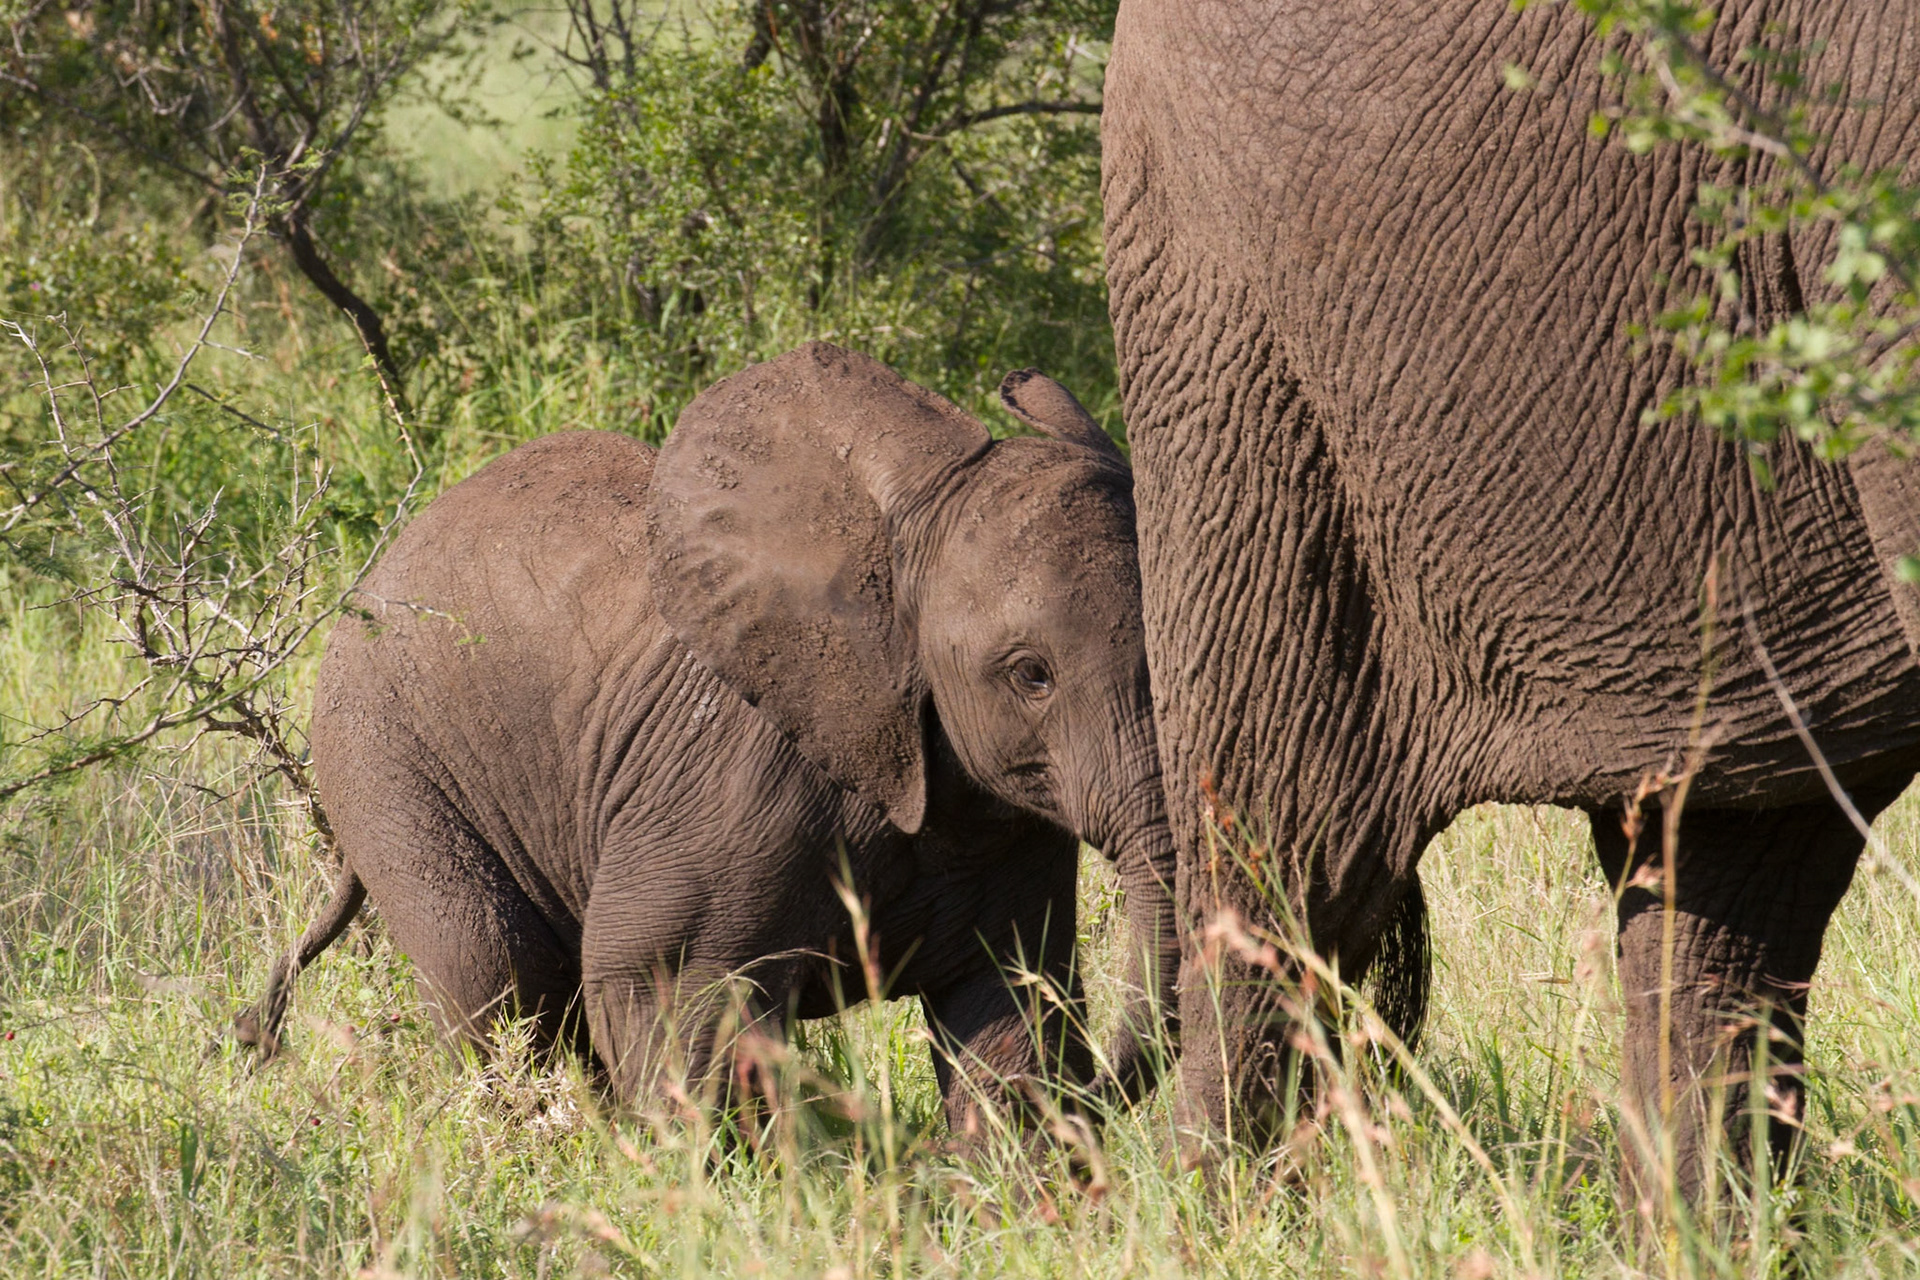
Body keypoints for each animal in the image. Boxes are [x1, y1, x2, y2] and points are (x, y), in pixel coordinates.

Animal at [237, 343, 1180, 1135]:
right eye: (1031, 675)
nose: (1095, 1101)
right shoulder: (738, 775)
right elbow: (664, 981)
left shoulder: (996, 812)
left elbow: (1014, 998)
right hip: (385, 756)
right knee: (494, 980)